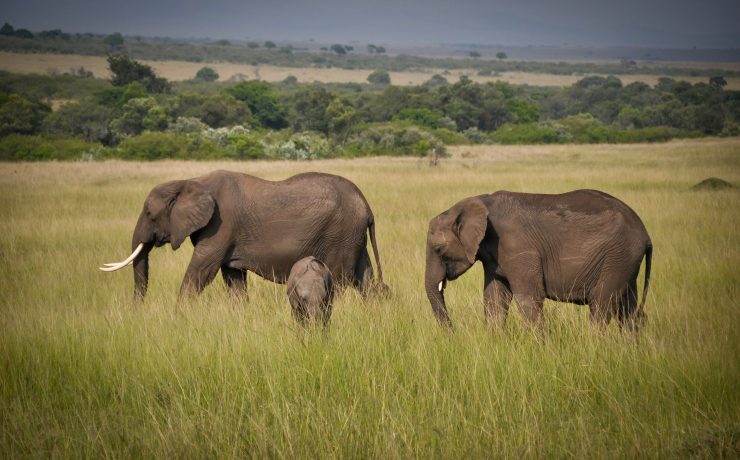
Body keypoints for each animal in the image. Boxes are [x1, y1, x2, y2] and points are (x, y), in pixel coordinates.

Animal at [100, 170, 385, 300]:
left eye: (149, 213)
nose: (138, 310)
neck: (191, 181)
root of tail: (367, 205)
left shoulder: (220, 227)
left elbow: (200, 273)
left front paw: (178, 317)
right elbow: (233, 279)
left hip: (340, 234)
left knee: (341, 280)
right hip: (352, 236)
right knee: (366, 279)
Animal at [425, 189, 652, 331]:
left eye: (438, 249)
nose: (454, 333)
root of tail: (645, 234)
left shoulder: (518, 248)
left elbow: (528, 298)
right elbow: (494, 299)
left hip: (617, 257)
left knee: (601, 306)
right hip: (625, 261)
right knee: (628, 310)